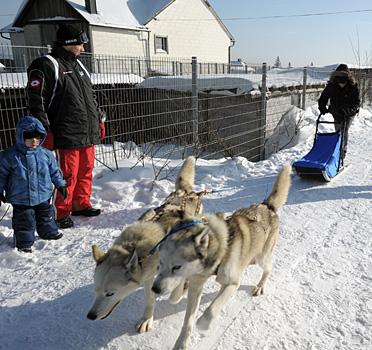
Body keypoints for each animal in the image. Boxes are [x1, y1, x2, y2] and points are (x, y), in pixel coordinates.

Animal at [86, 157, 203, 334]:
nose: (90, 316)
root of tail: (184, 192)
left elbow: (177, 288)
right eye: (96, 290)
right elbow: (150, 300)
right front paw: (147, 319)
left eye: (110, 293)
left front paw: (179, 292)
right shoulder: (148, 277)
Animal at [151, 165, 290, 350]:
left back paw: (260, 286)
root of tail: (266, 206)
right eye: (159, 264)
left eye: (177, 266)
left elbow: (211, 309)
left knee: (268, 269)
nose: (155, 289)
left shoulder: (232, 284)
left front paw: (203, 324)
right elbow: (187, 320)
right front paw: (182, 342)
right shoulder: (196, 285)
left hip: (262, 257)